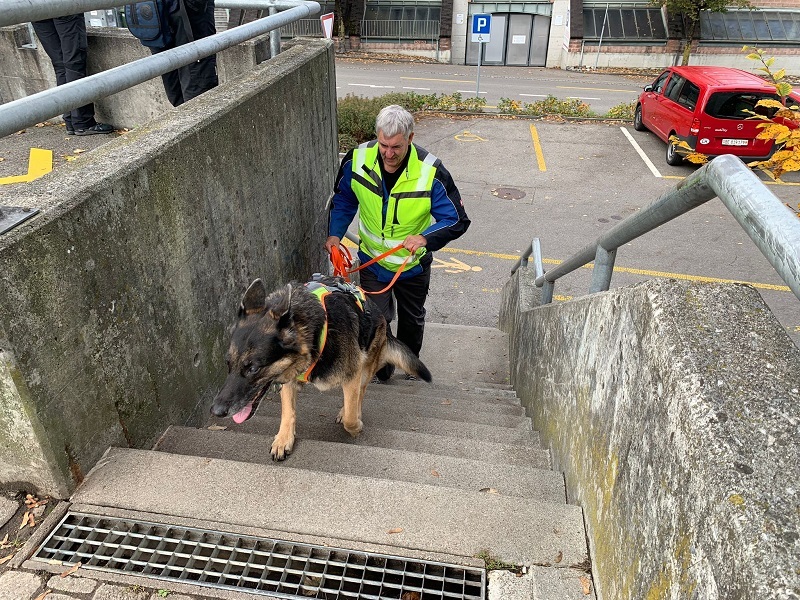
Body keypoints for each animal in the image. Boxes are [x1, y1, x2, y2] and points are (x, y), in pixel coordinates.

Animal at [209, 276, 428, 460]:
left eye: (253, 368)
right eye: (228, 364)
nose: (215, 411)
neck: (316, 334)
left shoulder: (352, 374)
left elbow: (351, 416)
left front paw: (355, 426)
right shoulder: (288, 378)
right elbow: (288, 412)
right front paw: (283, 439)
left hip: (365, 368)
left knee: (360, 394)